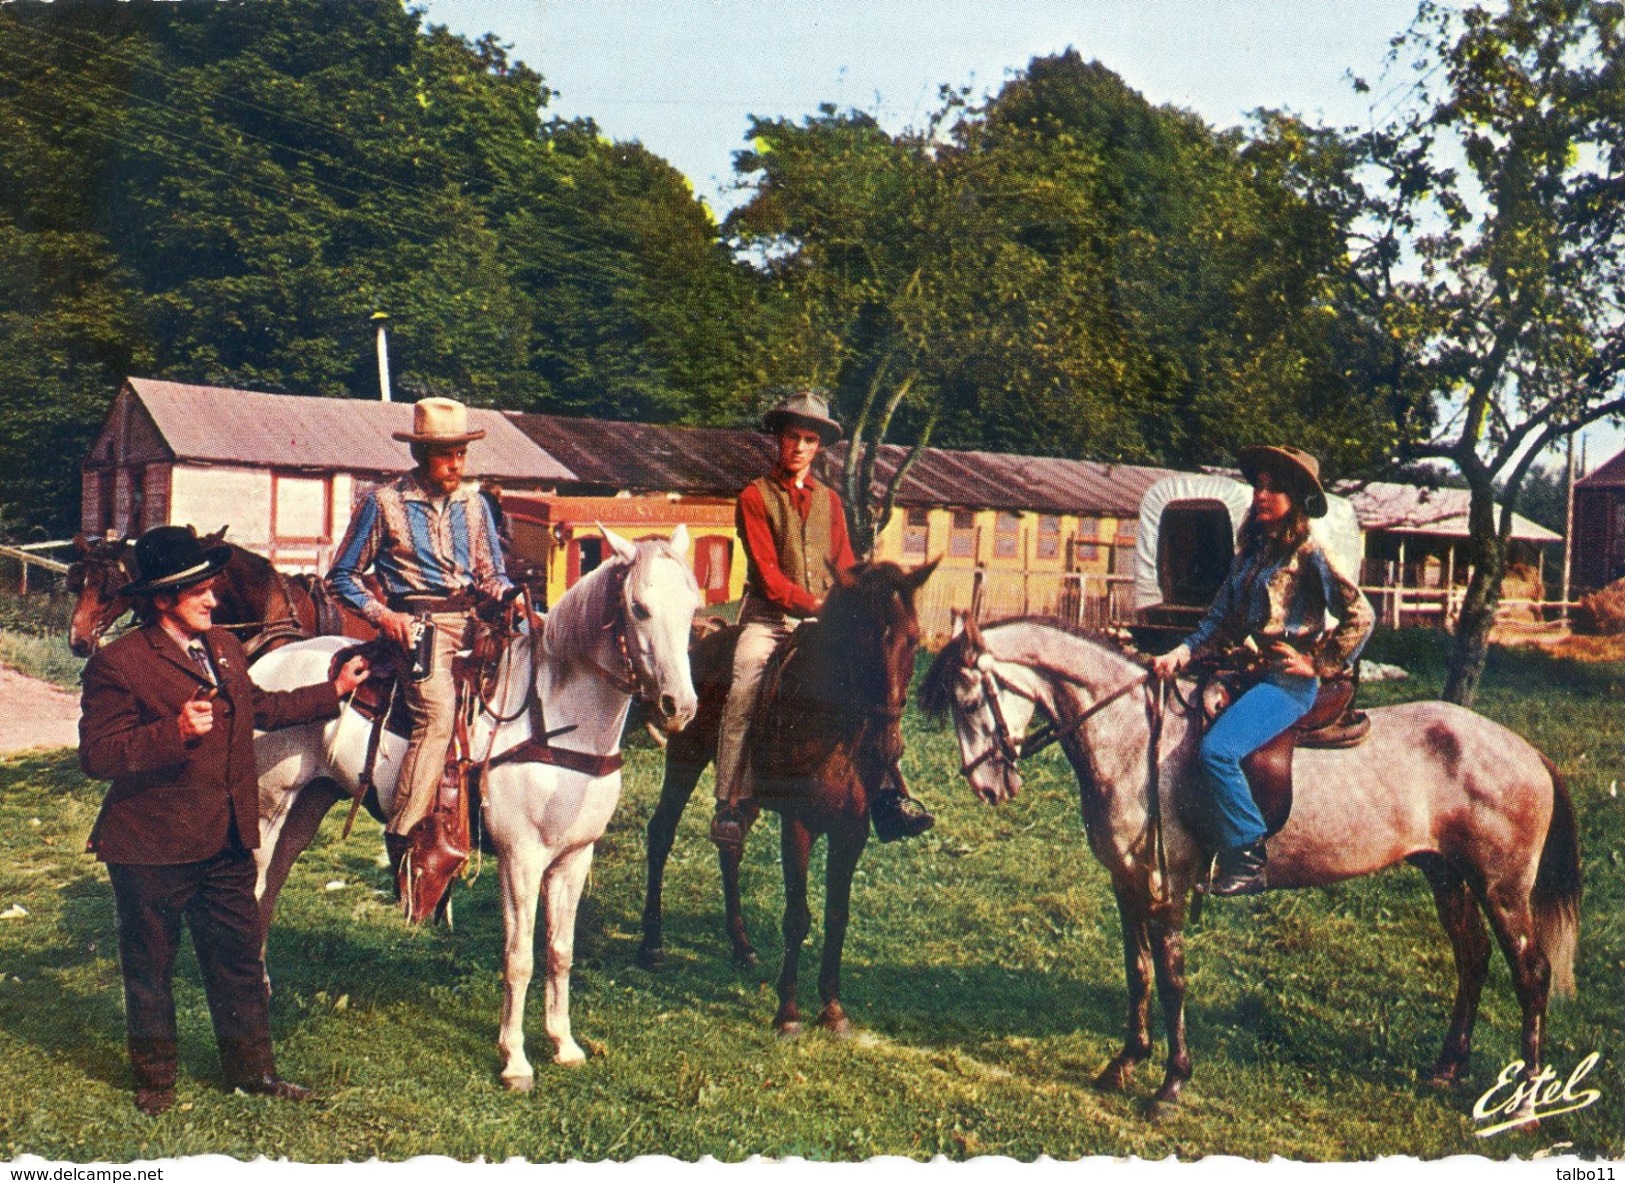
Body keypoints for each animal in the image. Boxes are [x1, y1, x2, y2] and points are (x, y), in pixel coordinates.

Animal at [248, 526, 698, 1092]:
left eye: (693, 607)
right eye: (638, 607)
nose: (680, 707)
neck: (559, 719)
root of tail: (269, 660)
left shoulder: (575, 858)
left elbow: (561, 950)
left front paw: (564, 1044)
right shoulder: (521, 859)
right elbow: (519, 957)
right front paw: (515, 1060)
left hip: (306, 807)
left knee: (270, 891)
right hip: (267, 811)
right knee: (254, 890)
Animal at [637, 559, 942, 1033]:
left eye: (912, 641)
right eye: (861, 642)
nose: (888, 747)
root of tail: (704, 639)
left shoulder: (851, 830)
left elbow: (837, 916)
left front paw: (832, 1007)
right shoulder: (799, 824)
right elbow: (798, 917)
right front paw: (788, 1012)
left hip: (742, 794)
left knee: (730, 845)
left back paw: (741, 945)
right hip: (686, 758)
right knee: (661, 833)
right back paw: (652, 945)